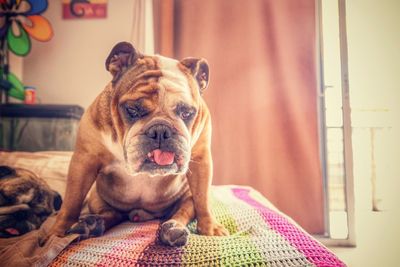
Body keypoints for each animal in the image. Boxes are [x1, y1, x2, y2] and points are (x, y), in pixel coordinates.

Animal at [43, 42, 228, 247]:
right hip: (95, 197)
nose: (161, 130)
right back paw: (91, 225)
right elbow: (71, 202)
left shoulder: (201, 161)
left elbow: (203, 200)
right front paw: (56, 234)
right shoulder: (84, 161)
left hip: (186, 196)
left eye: (186, 113)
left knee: (182, 211)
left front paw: (210, 228)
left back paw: (173, 230)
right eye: (132, 109)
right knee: (112, 214)